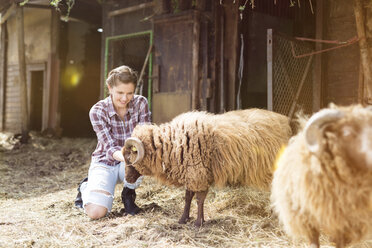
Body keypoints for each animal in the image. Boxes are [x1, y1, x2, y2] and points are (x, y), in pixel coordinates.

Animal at [121, 108, 290, 227]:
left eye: (129, 157)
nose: (127, 178)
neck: (171, 144)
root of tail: (285, 121)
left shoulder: (198, 174)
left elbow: (199, 199)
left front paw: (198, 222)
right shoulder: (192, 174)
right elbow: (188, 197)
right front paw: (184, 219)